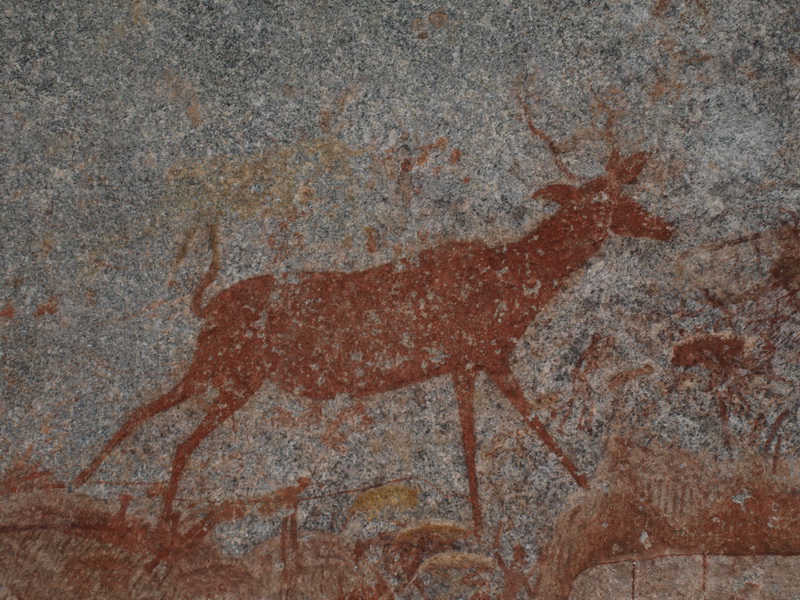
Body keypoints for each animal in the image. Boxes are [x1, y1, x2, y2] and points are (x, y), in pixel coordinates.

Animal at [76, 120, 676, 528]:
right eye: (602, 202)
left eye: (627, 191)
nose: (666, 226)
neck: (515, 283)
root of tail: (210, 308)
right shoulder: (478, 356)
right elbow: (496, 436)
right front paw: (501, 520)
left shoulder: (472, 363)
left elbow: (497, 434)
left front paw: (569, 491)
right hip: (232, 371)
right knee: (166, 430)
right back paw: (146, 521)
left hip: (226, 373)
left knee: (152, 419)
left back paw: (96, 487)